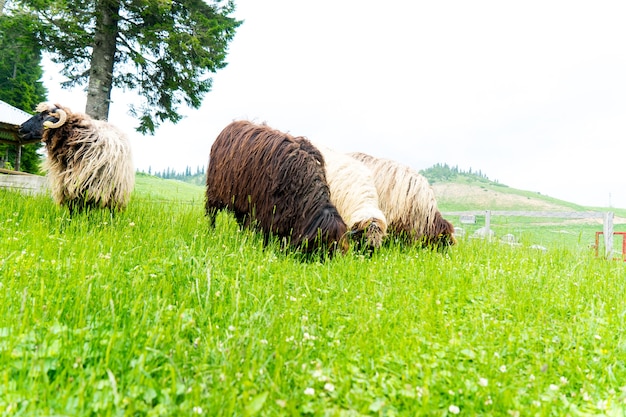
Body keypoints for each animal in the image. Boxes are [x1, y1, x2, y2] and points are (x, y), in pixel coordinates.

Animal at [207, 120, 348, 255]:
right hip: (215, 192)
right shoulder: (265, 211)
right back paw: (211, 232)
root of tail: (232, 125)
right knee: (211, 214)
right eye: (327, 245)